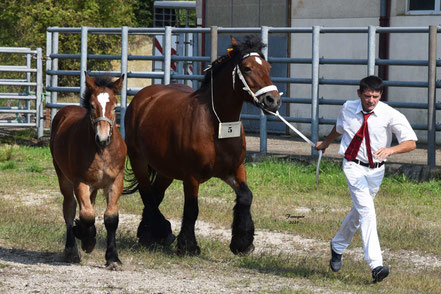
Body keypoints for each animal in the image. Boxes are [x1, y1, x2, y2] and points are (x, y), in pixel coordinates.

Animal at [50, 73, 126, 268]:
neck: (101, 151)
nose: (102, 137)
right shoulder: (80, 182)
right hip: (64, 179)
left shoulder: (115, 181)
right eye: (92, 105)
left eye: (115, 106)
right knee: (69, 209)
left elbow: (111, 218)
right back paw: (72, 249)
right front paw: (87, 239)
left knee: (88, 203)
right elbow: (87, 214)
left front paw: (113, 258)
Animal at [124, 35, 280, 255]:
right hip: (138, 160)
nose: (273, 100)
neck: (217, 123)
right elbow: (192, 209)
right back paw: (162, 231)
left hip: (165, 170)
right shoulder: (192, 176)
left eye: (268, 67)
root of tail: (143, 97)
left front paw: (242, 243)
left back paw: (148, 234)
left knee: (156, 194)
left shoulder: (234, 169)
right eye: (248, 68)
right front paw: (188, 246)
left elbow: (246, 196)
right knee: (147, 195)